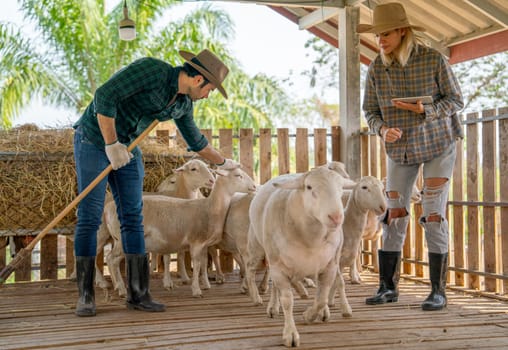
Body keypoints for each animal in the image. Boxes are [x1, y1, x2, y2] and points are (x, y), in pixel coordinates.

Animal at [104, 165, 254, 296]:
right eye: (238, 175)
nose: (253, 186)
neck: (209, 208)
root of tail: (109, 208)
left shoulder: (204, 244)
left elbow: (203, 263)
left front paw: (204, 284)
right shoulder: (195, 242)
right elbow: (197, 265)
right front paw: (196, 290)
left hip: (118, 241)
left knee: (111, 259)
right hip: (123, 240)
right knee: (111, 259)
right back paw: (121, 289)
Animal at [244, 167, 352, 348]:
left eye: (341, 188)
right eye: (308, 187)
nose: (336, 217)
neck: (311, 239)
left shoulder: (329, 265)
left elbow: (322, 298)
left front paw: (309, 315)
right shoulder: (279, 267)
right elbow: (287, 300)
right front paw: (290, 334)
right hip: (259, 250)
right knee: (251, 270)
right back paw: (261, 300)